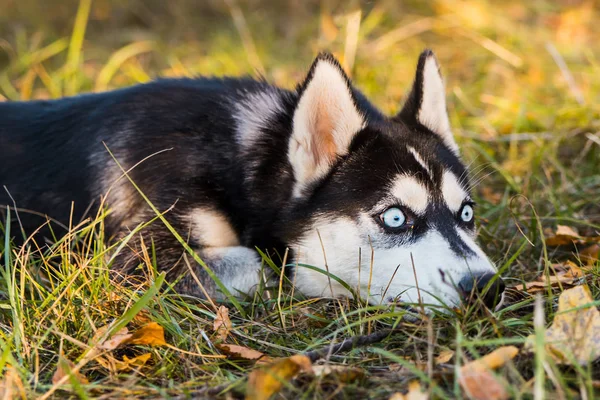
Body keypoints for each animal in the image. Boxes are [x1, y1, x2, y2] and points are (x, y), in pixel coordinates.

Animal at [0, 50, 504, 310]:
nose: (485, 286)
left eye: (466, 213)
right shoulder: (131, 263)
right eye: (395, 218)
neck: (232, 158)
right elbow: (261, 263)